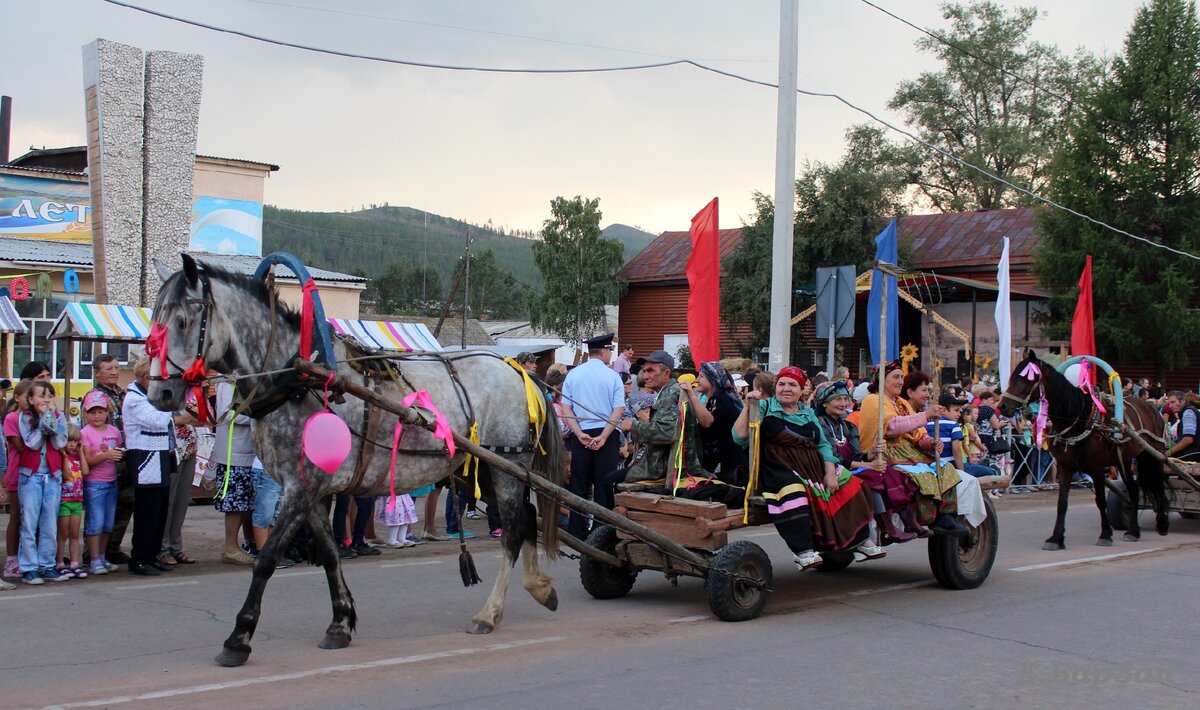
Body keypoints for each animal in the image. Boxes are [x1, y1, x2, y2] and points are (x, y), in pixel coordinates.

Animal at [148, 255, 561, 666]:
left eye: (182, 321)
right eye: (155, 321)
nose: (160, 394)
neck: (300, 381)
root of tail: (518, 371)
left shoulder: (302, 488)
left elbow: (266, 558)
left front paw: (238, 638)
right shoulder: (312, 490)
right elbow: (331, 554)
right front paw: (340, 623)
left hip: (506, 466)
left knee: (513, 529)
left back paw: (489, 613)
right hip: (480, 471)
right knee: (527, 519)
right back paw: (539, 587)